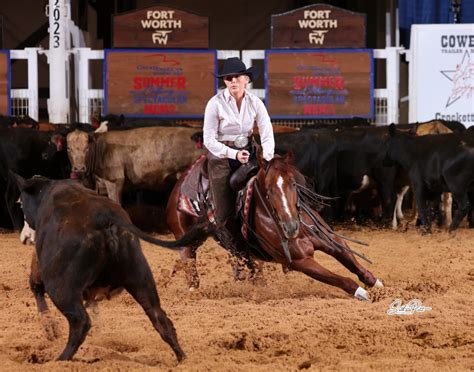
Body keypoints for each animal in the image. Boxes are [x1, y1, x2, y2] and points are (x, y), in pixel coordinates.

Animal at [12, 176, 209, 362]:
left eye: (20, 203)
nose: (25, 237)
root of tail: (104, 217)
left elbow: (36, 285)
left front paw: (50, 329)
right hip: (140, 277)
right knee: (158, 316)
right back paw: (182, 358)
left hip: (60, 288)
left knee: (80, 321)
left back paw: (61, 358)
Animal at [165, 148, 384, 300]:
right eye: (268, 190)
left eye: (293, 183)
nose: (291, 227)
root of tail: (181, 183)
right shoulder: (300, 261)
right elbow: (340, 279)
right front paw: (362, 293)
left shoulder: (331, 240)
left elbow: (353, 263)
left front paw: (377, 284)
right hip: (186, 243)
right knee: (192, 271)